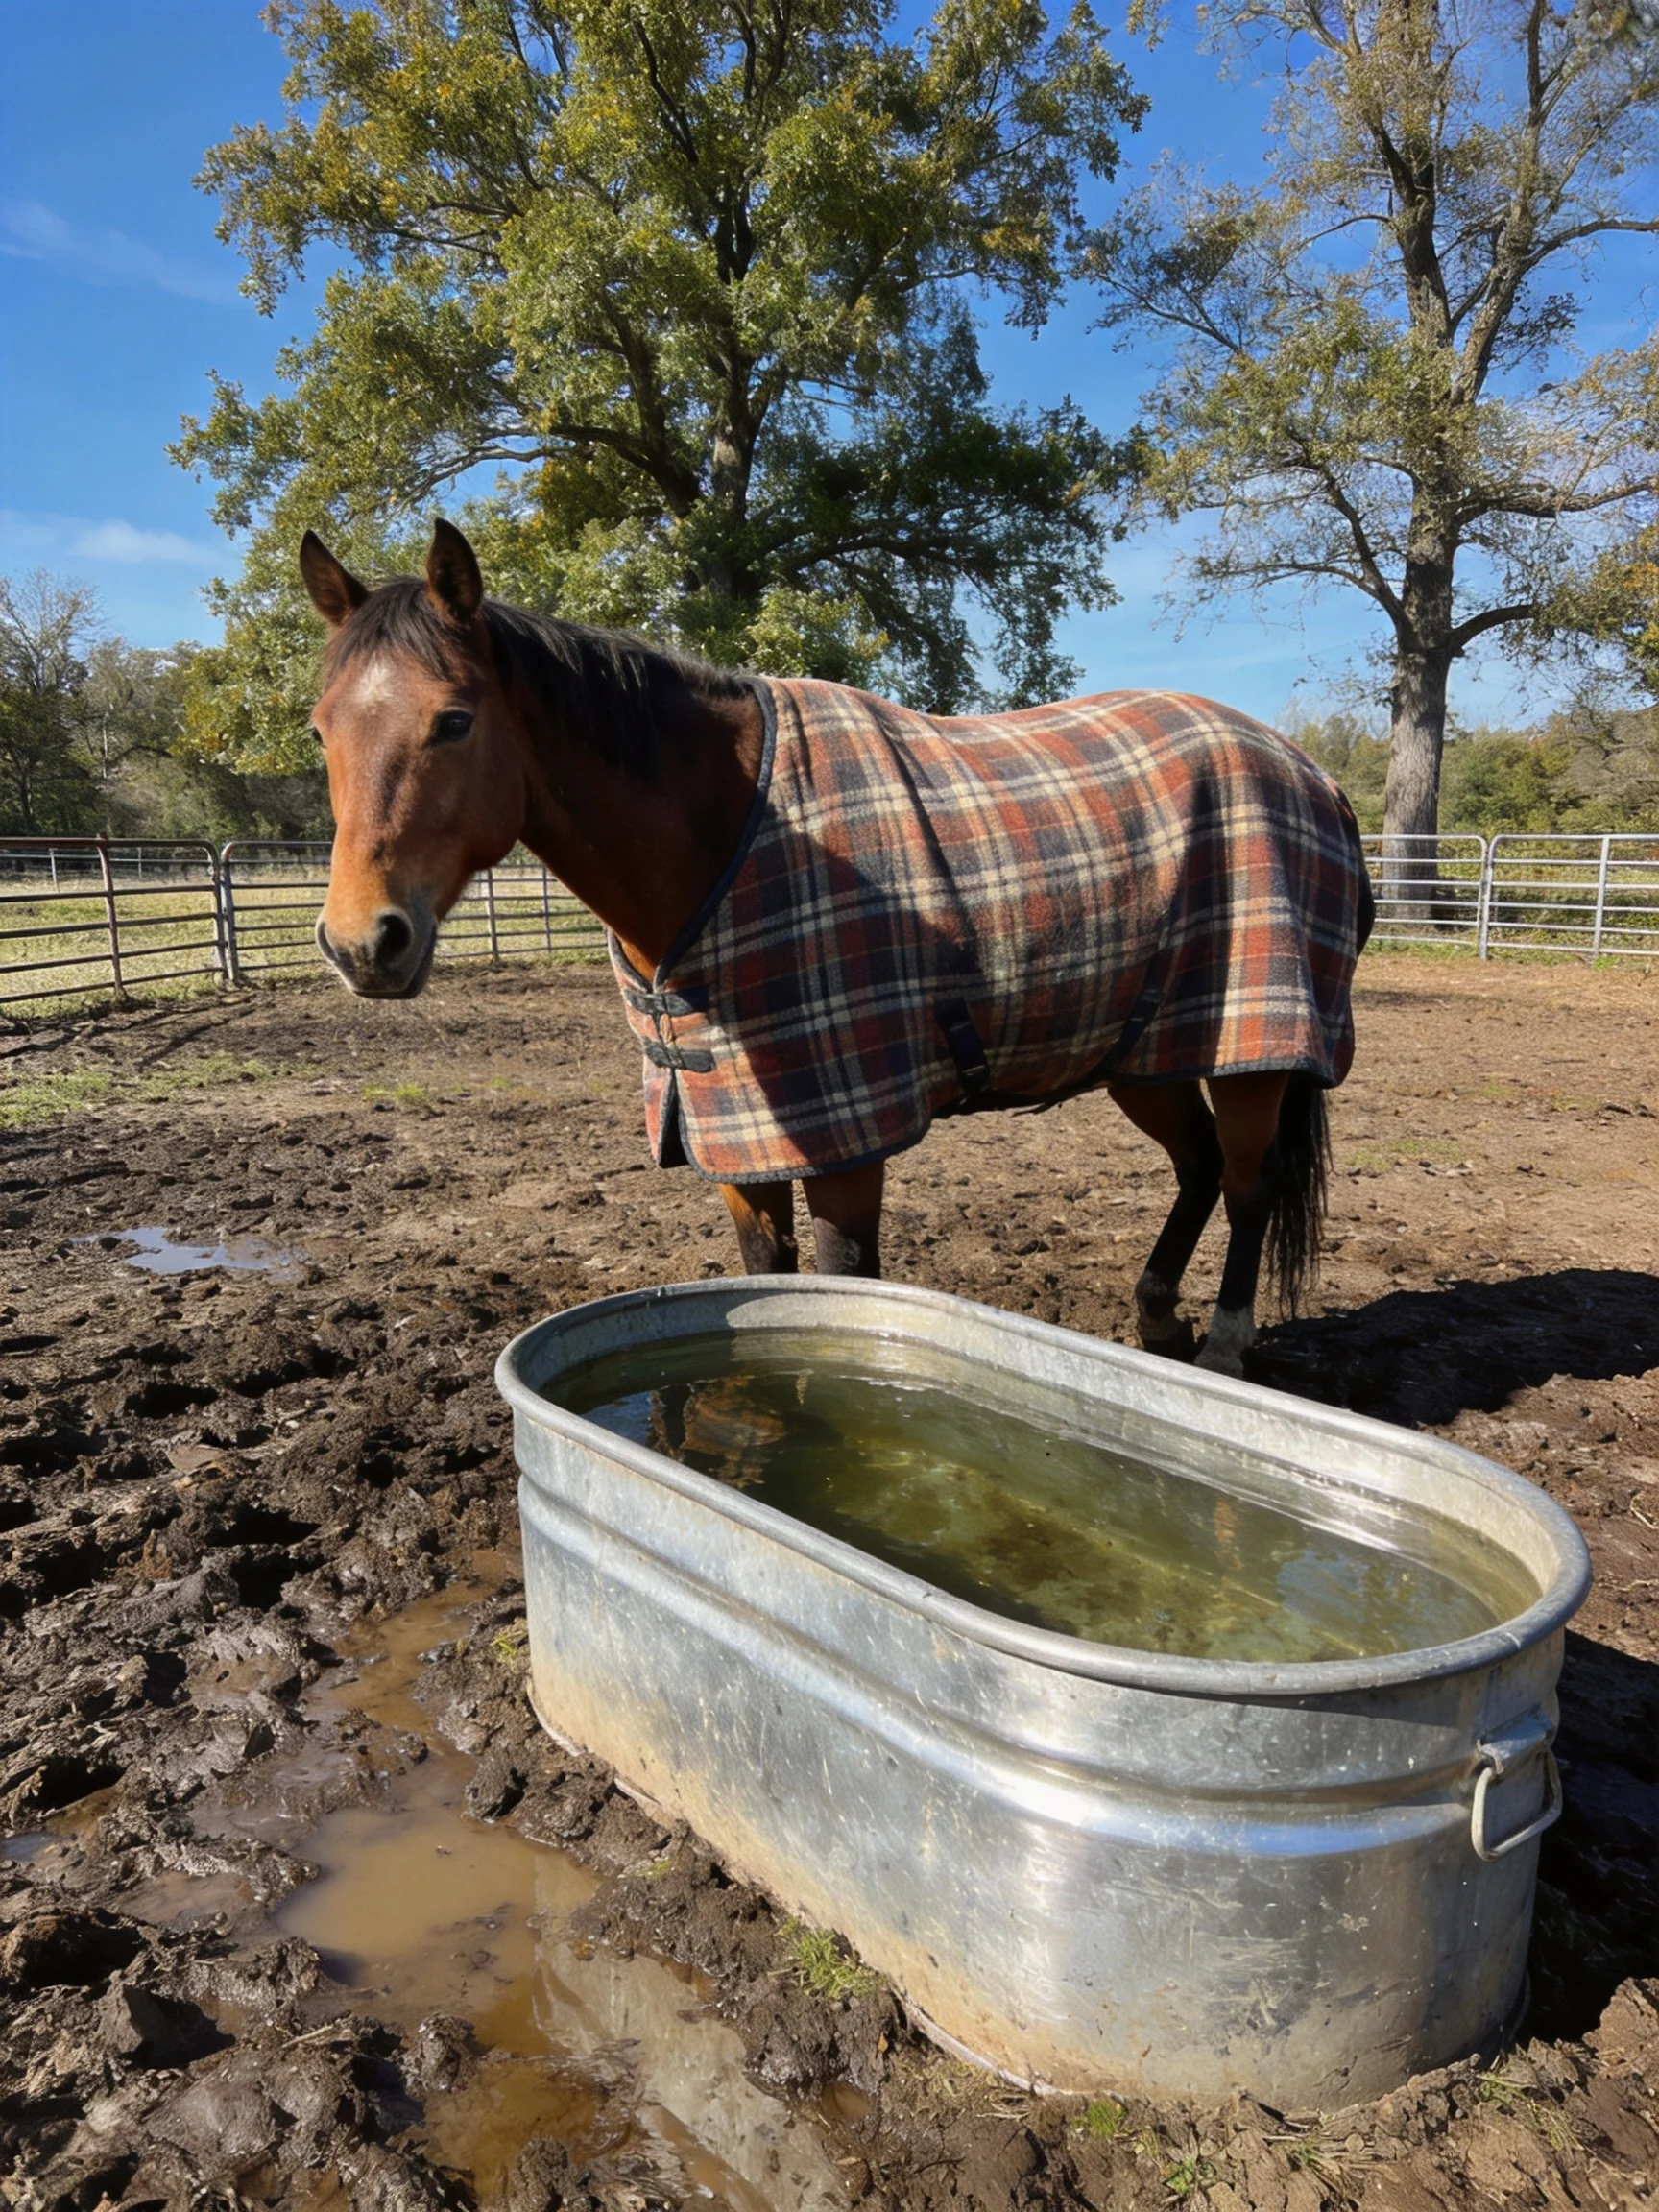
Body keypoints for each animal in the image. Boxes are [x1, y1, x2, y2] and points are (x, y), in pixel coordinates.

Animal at [300, 521, 1373, 1375]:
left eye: (453, 720)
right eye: (318, 732)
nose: (362, 942)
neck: (727, 837)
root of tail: (1308, 774)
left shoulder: (847, 1143)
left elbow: (845, 1281)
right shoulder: (737, 1137)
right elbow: (767, 1279)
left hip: (1252, 1049)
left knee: (1250, 1184)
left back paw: (1227, 1344)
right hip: (1143, 1050)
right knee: (1198, 1167)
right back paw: (1156, 1323)